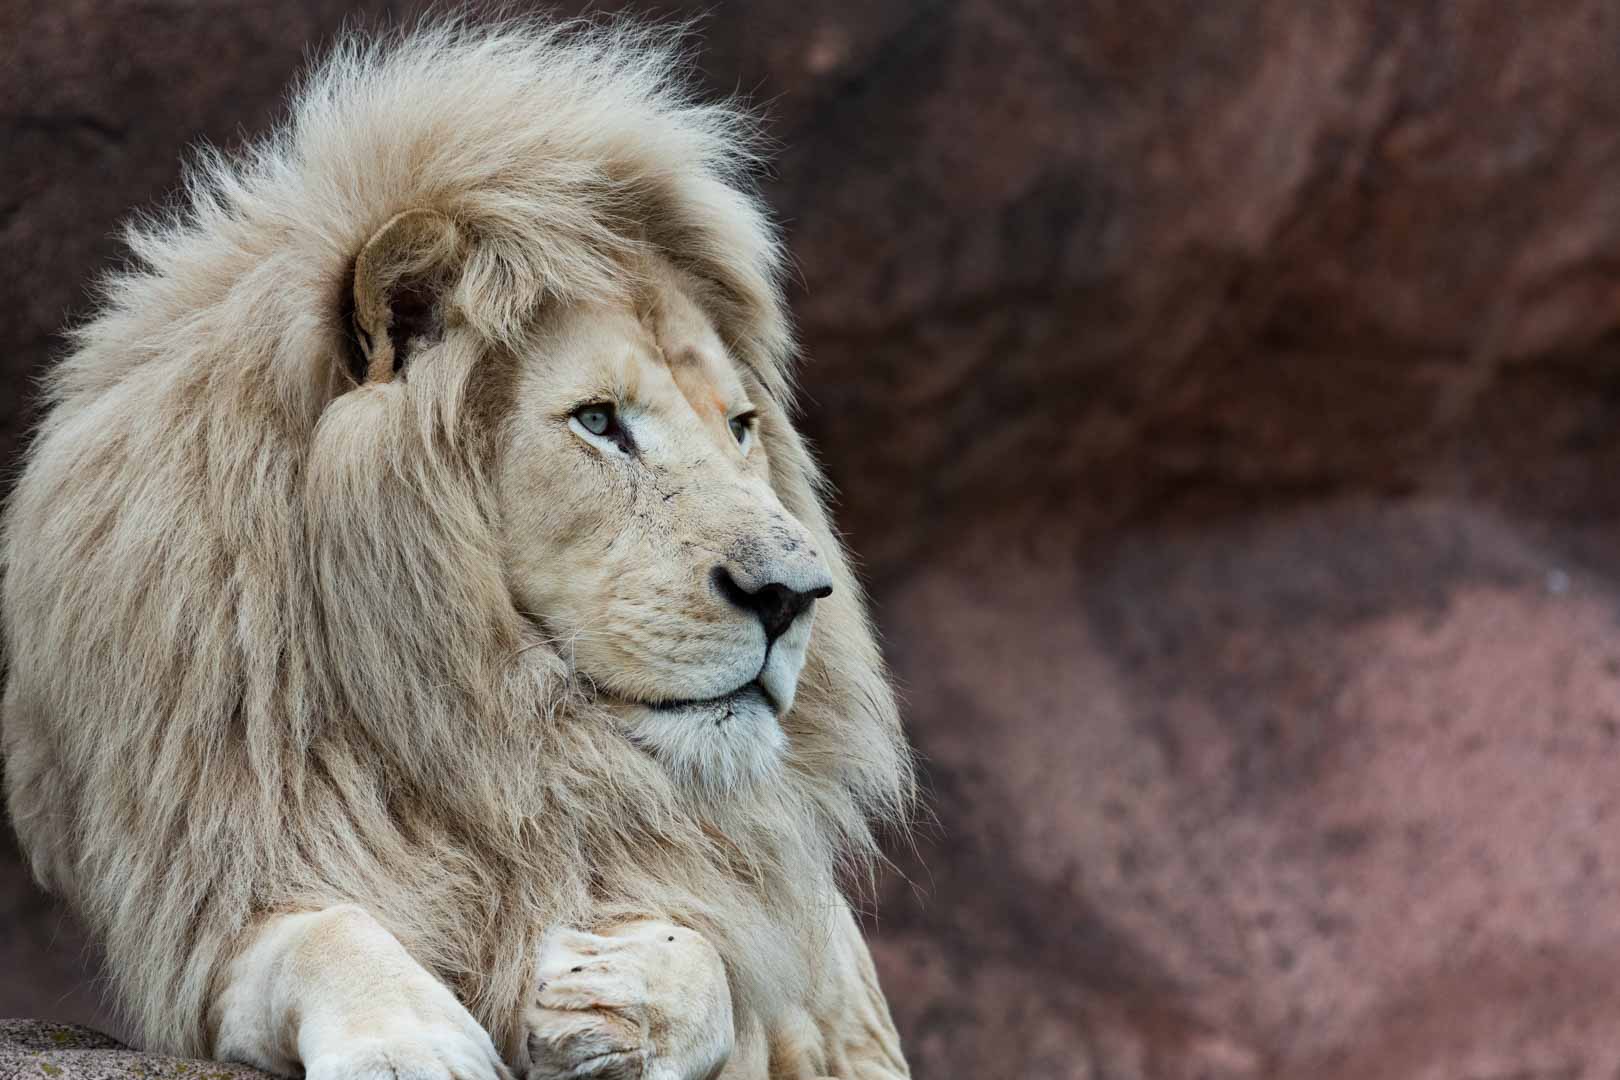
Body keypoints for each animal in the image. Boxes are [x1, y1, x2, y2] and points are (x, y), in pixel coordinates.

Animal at [1, 17, 914, 1080]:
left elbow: (718, 964)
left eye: (738, 428)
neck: (483, 718)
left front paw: (621, 993)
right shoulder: (216, 906)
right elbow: (328, 932)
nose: (792, 596)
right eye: (598, 421)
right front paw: (412, 1042)